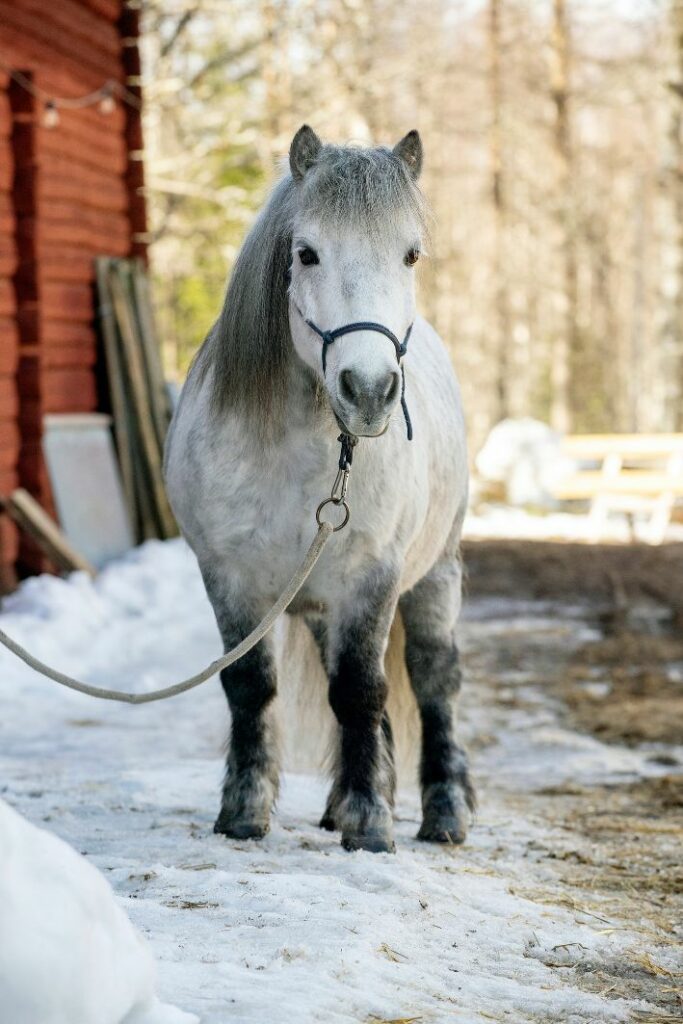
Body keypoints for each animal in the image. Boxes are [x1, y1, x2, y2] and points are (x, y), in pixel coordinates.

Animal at [165, 123, 475, 851]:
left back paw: (443, 812)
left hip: (433, 576)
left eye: (410, 255)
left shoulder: (371, 578)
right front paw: (244, 811)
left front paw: (369, 823)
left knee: (431, 680)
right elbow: (250, 689)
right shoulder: (233, 580)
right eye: (305, 254)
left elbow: (361, 692)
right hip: (314, 605)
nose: (369, 391)